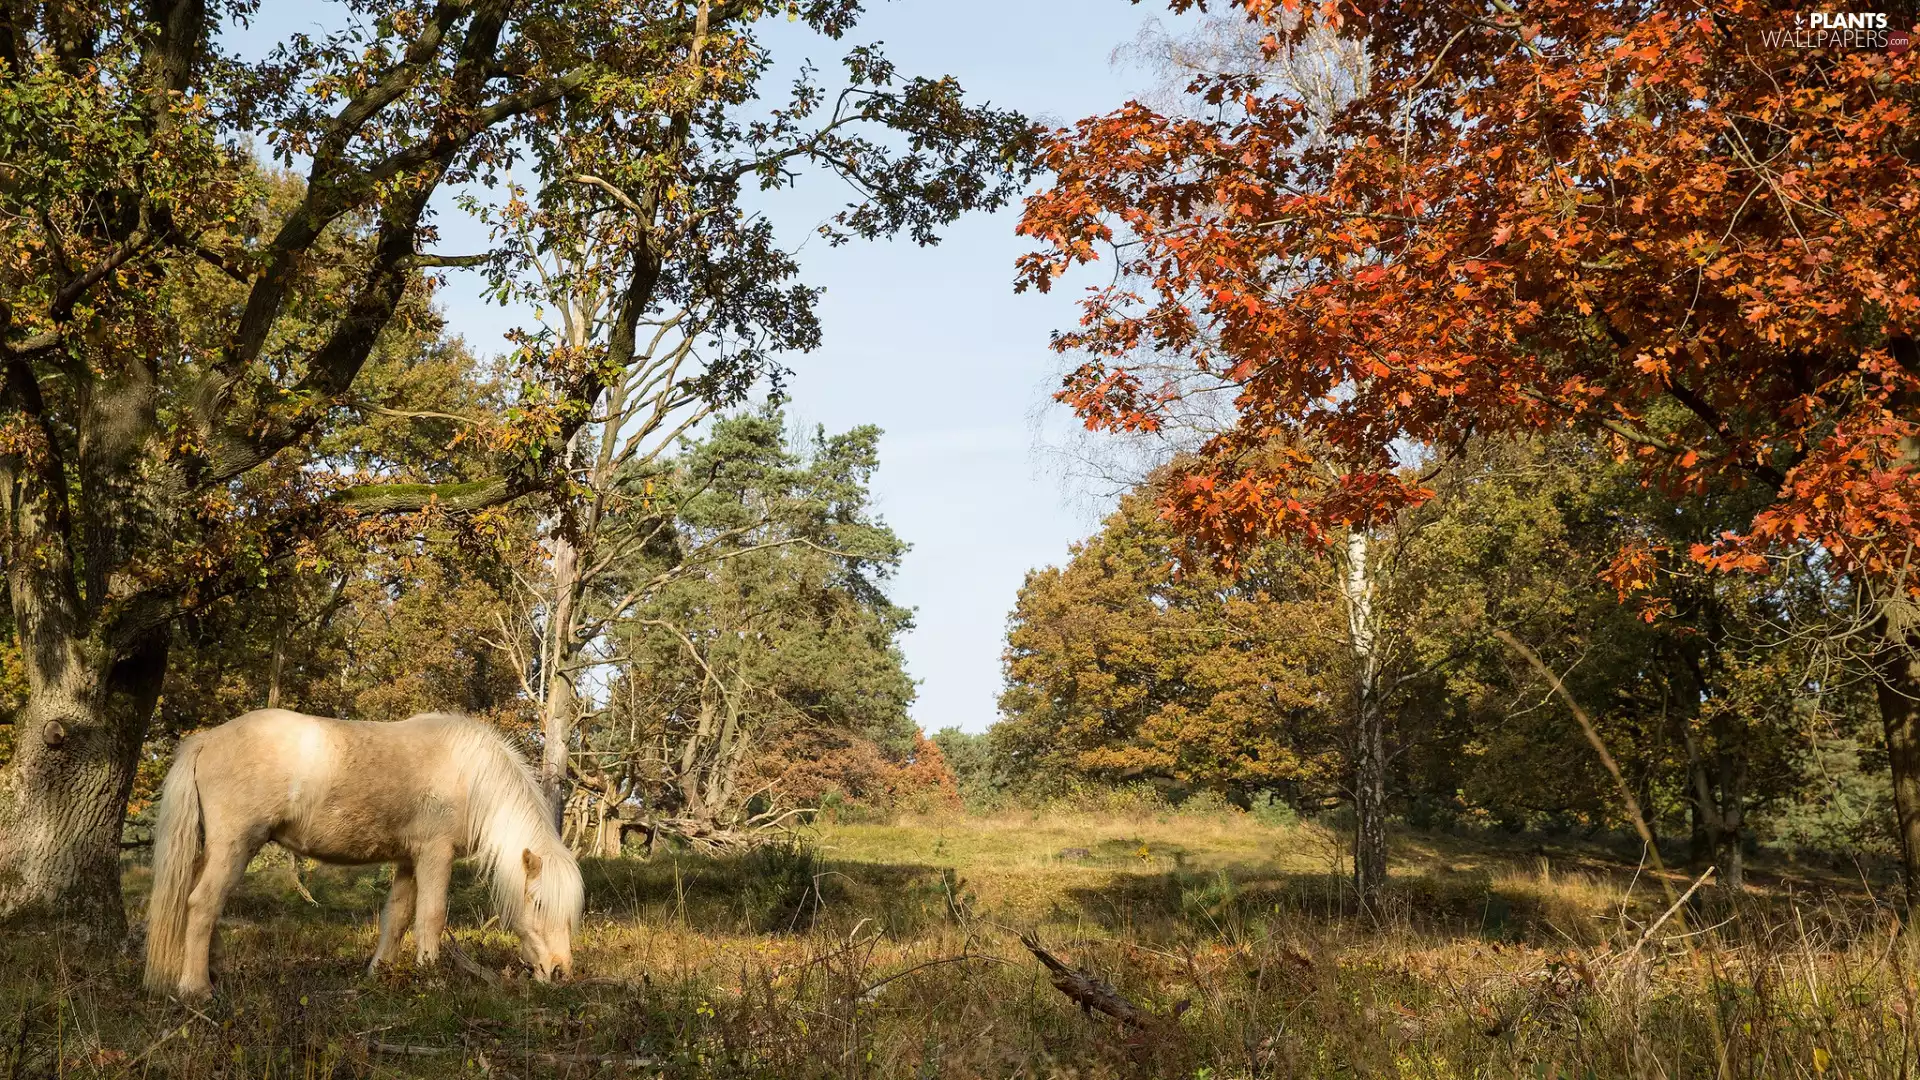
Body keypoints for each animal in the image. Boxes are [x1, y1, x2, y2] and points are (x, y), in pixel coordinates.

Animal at [142, 709, 584, 999]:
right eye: (538, 903)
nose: (560, 972)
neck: (469, 774)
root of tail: (205, 740)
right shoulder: (435, 855)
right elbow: (431, 917)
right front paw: (431, 981)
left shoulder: (408, 860)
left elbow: (397, 918)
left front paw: (380, 973)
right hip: (235, 845)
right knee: (202, 904)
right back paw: (197, 989)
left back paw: (212, 970)